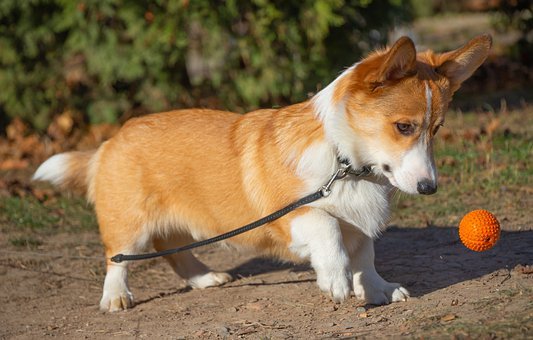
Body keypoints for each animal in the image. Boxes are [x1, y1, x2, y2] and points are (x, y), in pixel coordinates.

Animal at [33, 33, 490, 310]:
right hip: (129, 221)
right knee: (118, 257)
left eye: (436, 129)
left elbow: (365, 256)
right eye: (404, 127)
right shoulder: (294, 213)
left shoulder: (359, 222)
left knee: (174, 249)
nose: (429, 188)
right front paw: (337, 282)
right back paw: (116, 297)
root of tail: (110, 141)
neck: (345, 163)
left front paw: (378, 290)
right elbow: (328, 231)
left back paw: (203, 278)